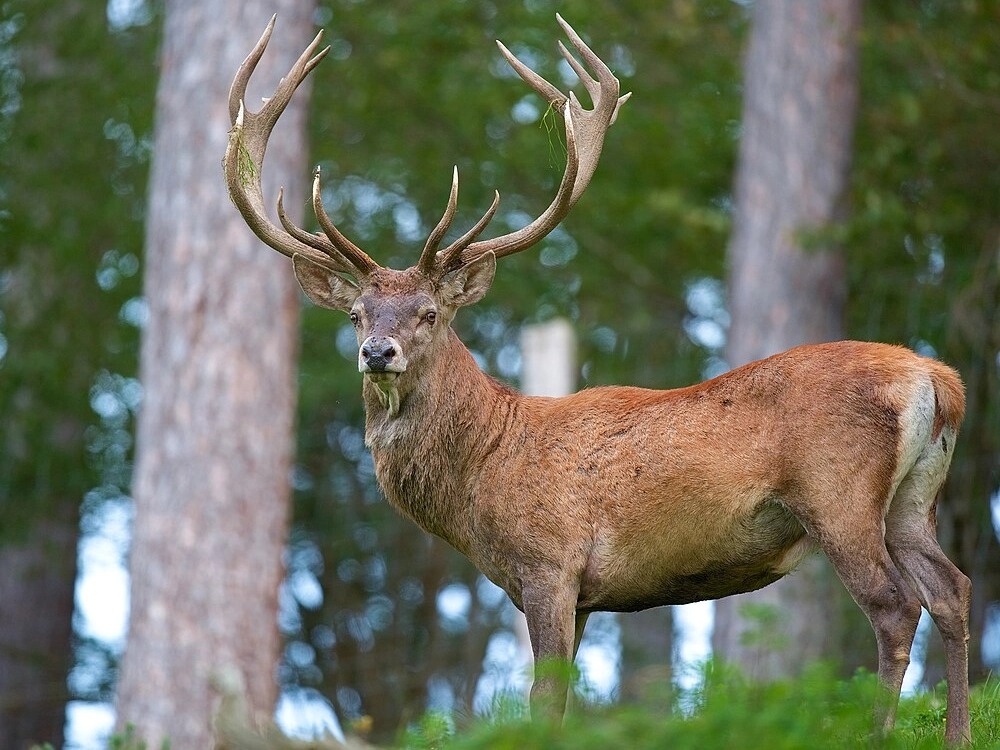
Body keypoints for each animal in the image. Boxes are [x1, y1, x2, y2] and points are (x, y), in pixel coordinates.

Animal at [224, 15, 972, 745]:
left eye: (429, 313)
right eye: (355, 314)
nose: (378, 352)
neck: (484, 469)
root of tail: (936, 378)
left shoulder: (549, 565)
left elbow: (544, 703)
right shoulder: (580, 594)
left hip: (838, 492)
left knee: (895, 606)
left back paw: (878, 732)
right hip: (913, 499)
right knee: (952, 590)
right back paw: (958, 733)